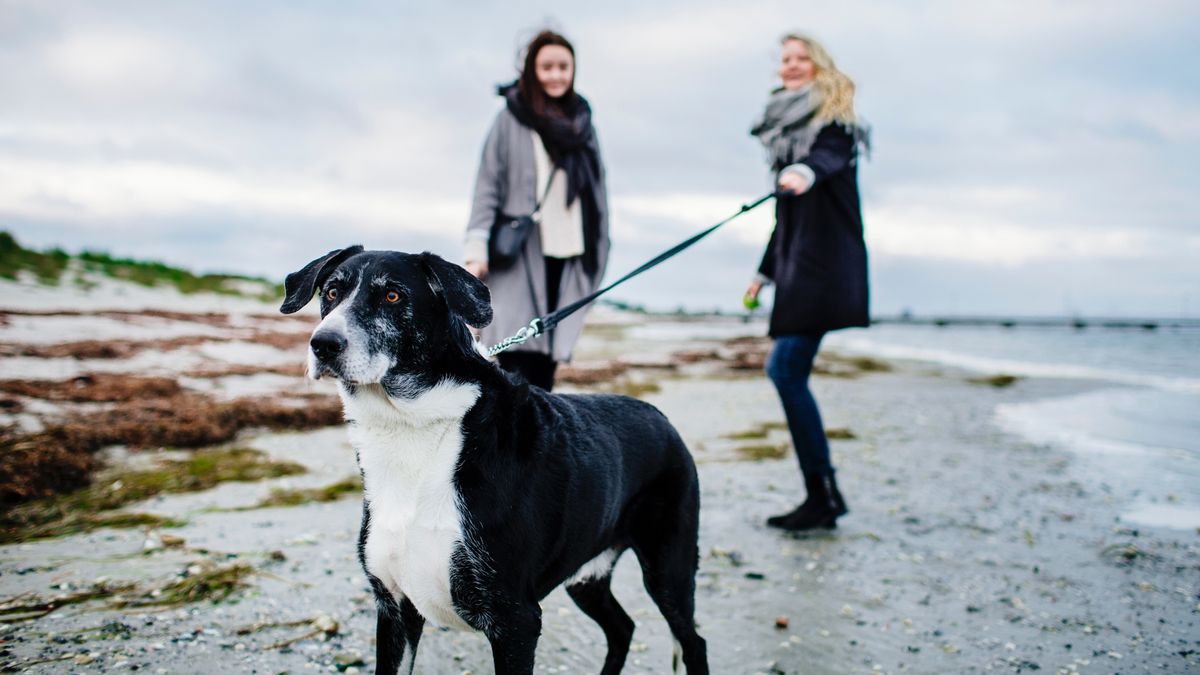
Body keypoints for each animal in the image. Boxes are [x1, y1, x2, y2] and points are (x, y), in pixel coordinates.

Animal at [278, 247, 700, 672]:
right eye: (332, 292)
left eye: (393, 296)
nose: (323, 344)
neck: (412, 423)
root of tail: (662, 418)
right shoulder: (395, 608)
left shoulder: (515, 618)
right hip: (587, 576)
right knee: (622, 628)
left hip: (668, 568)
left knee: (692, 640)